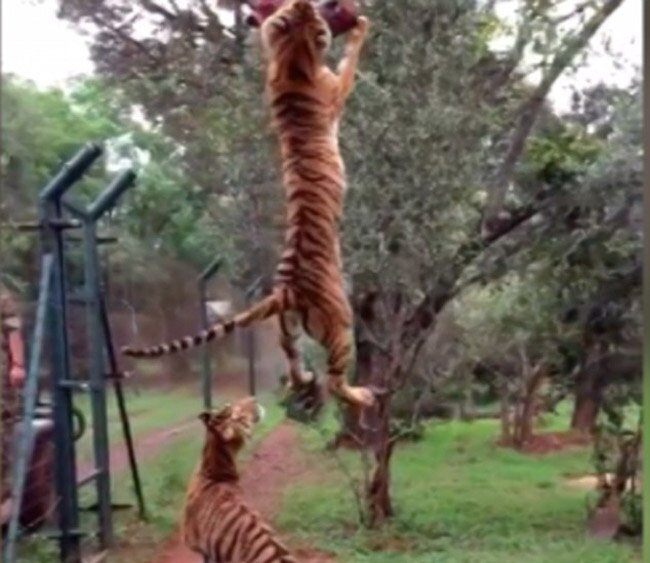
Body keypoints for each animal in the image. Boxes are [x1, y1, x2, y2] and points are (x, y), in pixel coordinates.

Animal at [121, 0, 375, 417]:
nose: (308, 5)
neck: (292, 61)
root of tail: (285, 291)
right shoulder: (337, 90)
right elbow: (350, 62)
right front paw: (361, 27)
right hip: (341, 324)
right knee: (337, 381)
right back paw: (362, 395)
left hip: (287, 329)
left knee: (294, 364)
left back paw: (304, 379)